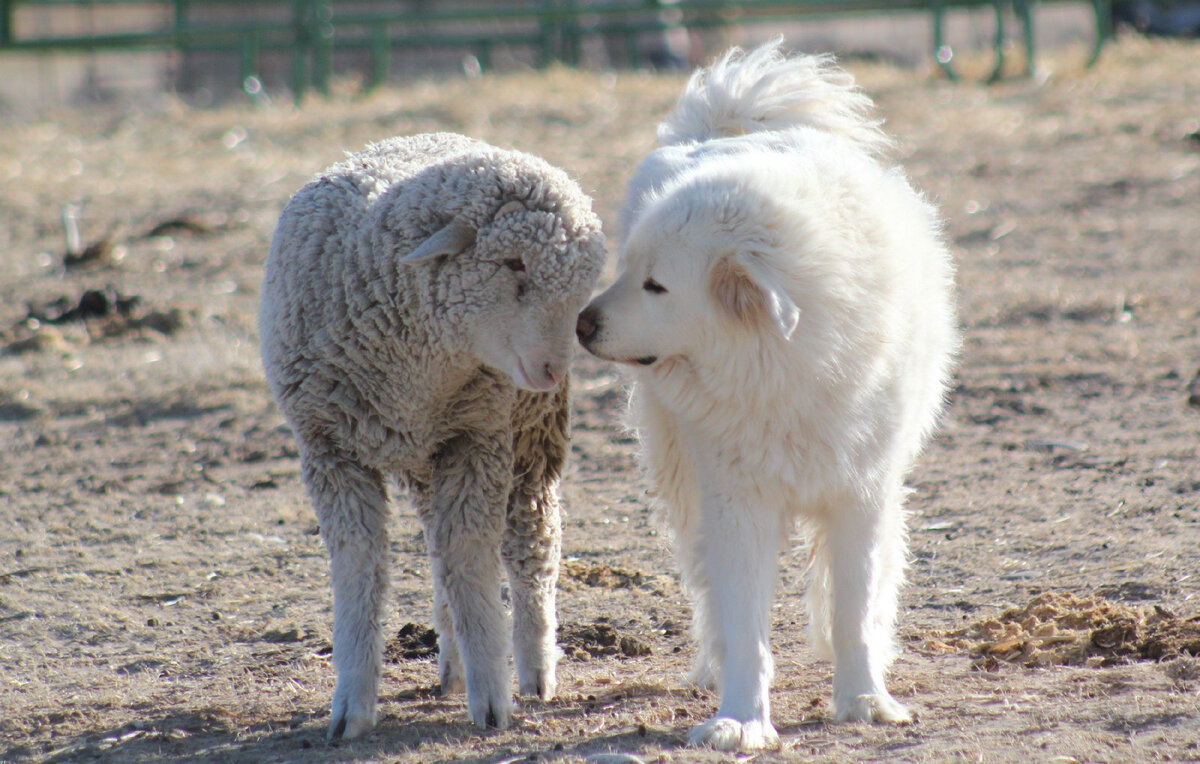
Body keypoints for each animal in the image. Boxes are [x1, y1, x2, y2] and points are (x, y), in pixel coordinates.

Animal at [256, 132, 604, 738]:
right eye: (512, 261)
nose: (553, 370)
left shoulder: (479, 437)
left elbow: (472, 560)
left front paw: (492, 698)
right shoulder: (329, 450)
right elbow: (360, 567)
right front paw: (351, 704)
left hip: (528, 439)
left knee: (529, 546)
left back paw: (534, 668)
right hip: (427, 454)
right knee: (441, 549)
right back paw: (453, 663)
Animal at [576, 41, 960, 753]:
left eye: (655, 285)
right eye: (626, 269)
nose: (580, 325)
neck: (787, 369)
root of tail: (722, 128)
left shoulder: (860, 493)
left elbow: (853, 608)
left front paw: (864, 700)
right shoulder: (736, 500)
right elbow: (745, 622)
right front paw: (741, 719)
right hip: (684, 478)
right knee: (708, 591)